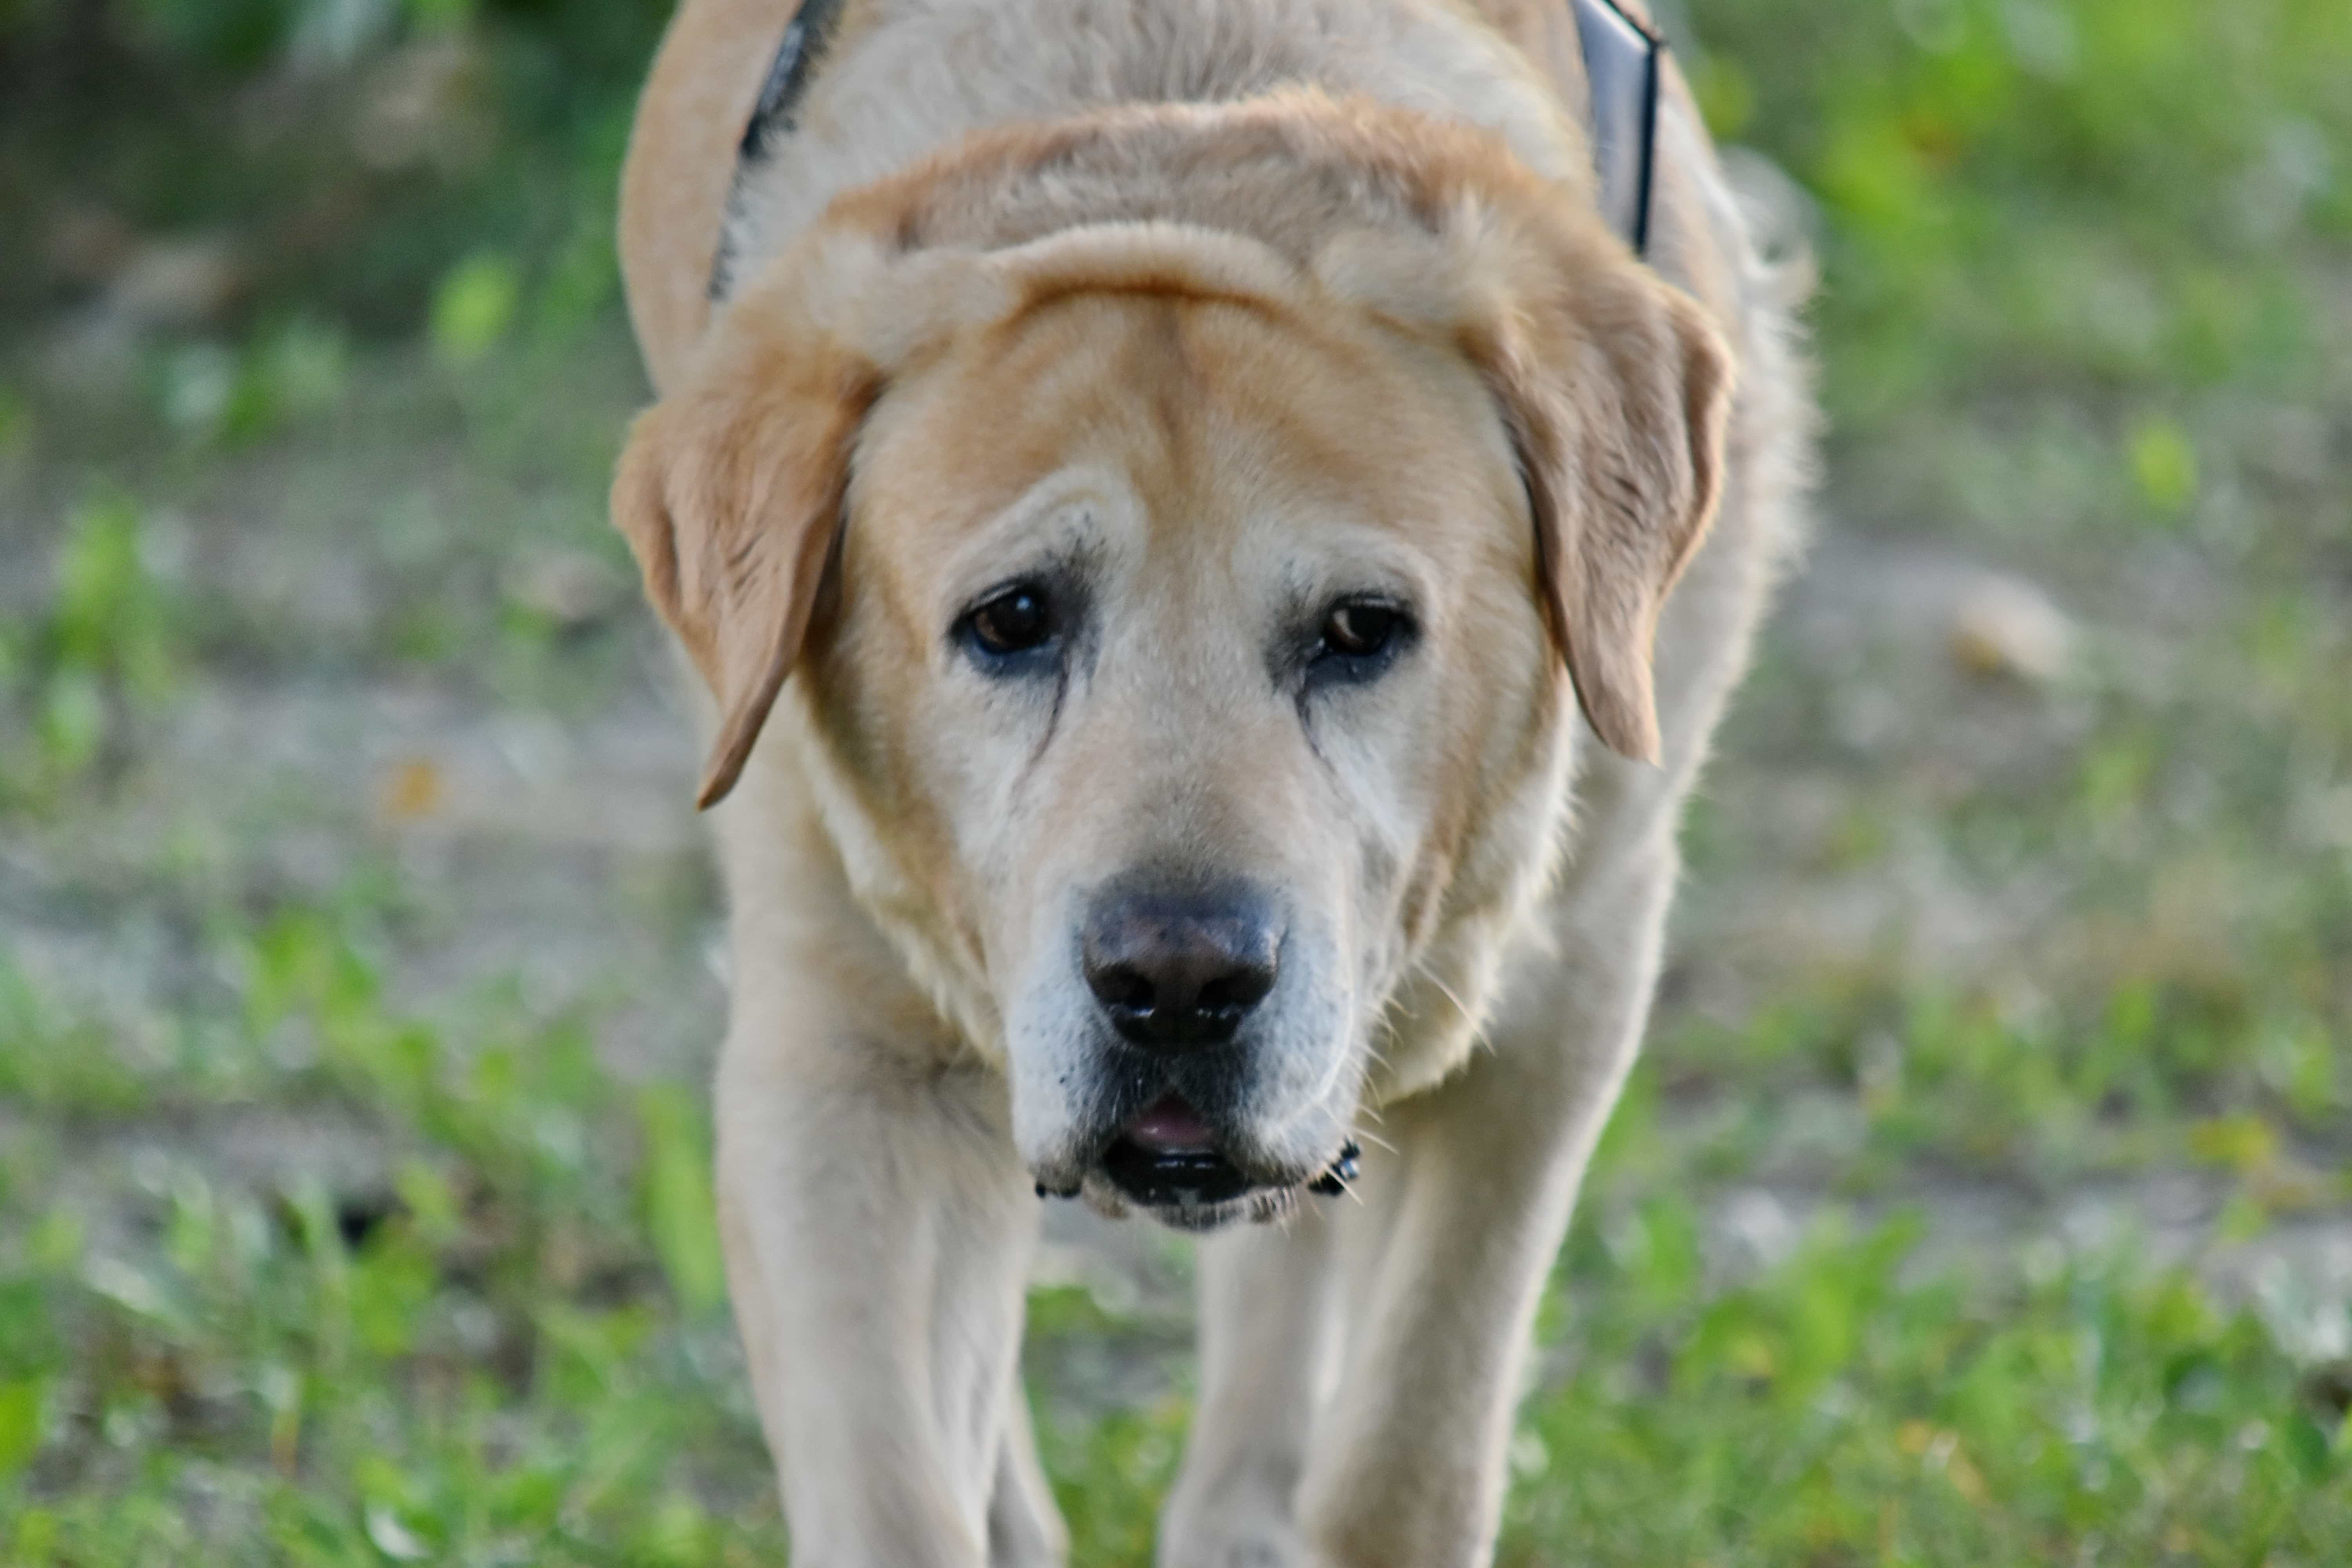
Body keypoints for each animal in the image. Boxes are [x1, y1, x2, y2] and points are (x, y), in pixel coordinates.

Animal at [616, 3, 1806, 1568]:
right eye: (1011, 619)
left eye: (1361, 628)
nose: (1176, 984)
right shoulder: (835, 1059)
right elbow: (890, 1488)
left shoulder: (1564, 997)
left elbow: (1405, 1452)